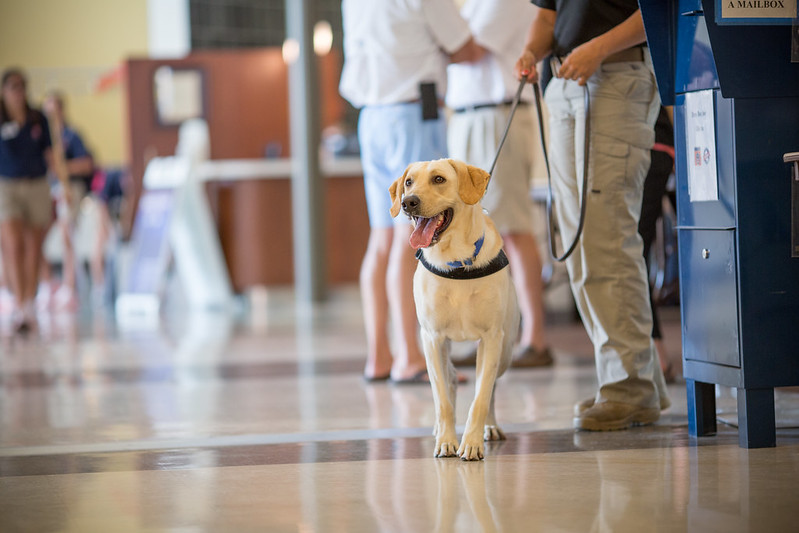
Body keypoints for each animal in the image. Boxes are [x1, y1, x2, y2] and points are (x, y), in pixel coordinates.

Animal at [390, 157, 520, 458]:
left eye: (439, 179)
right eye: (408, 182)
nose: (408, 202)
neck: (456, 261)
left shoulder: (491, 338)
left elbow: (481, 397)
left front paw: (471, 443)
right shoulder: (433, 339)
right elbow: (442, 400)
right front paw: (447, 440)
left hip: (506, 351)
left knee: (492, 386)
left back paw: (490, 427)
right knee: (448, 381)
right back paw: (440, 430)